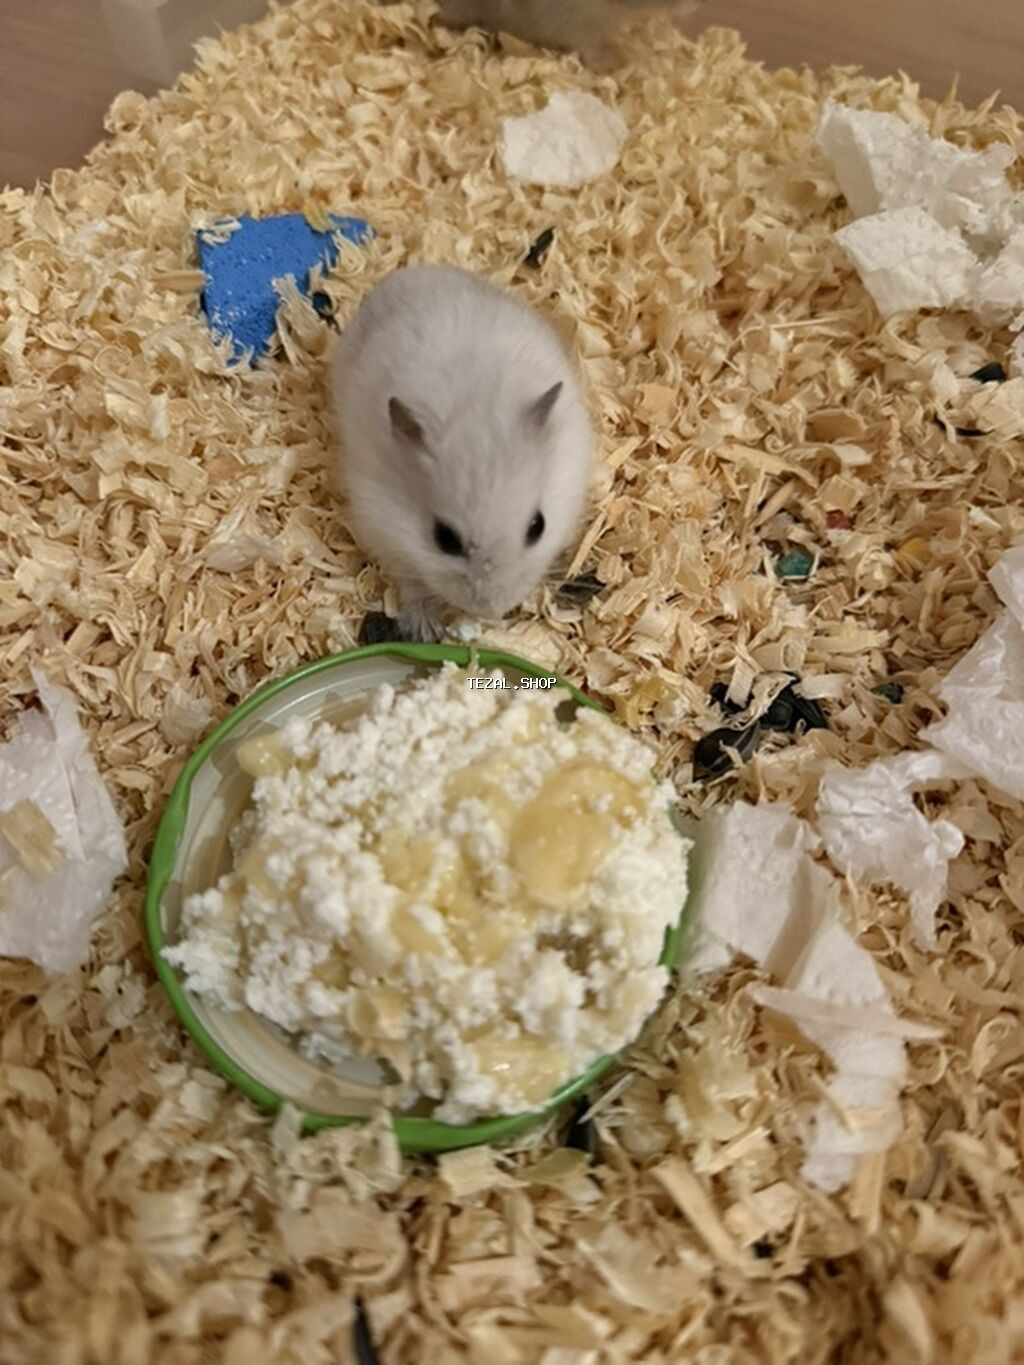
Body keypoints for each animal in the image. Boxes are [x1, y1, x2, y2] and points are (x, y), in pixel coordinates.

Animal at [329, 265, 594, 642]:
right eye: (445, 540)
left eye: (538, 526)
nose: (493, 610)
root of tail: (411, 271)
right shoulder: (383, 528)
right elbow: (412, 582)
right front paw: (425, 629)